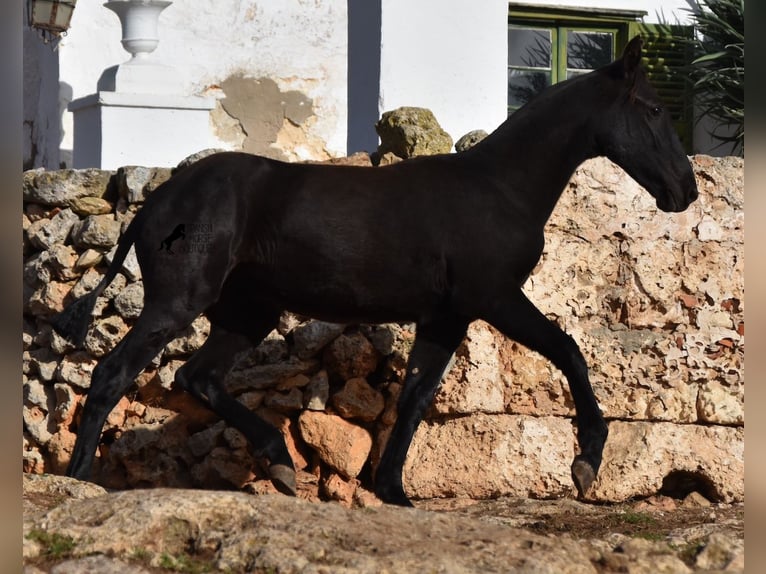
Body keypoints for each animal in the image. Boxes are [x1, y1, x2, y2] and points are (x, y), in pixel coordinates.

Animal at [52, 38, 704, 508]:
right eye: (651, 109)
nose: (686, 191)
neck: (499, 189)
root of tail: (156, 203)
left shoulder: (447, 317)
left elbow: (415, 399)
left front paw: (392, 492)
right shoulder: (495, 298)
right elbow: (569, 351)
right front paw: (587, 461)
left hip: (247, 314)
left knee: (198, 378)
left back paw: (279, 462)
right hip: (178, 303)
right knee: (112, 374)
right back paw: (81, 481)